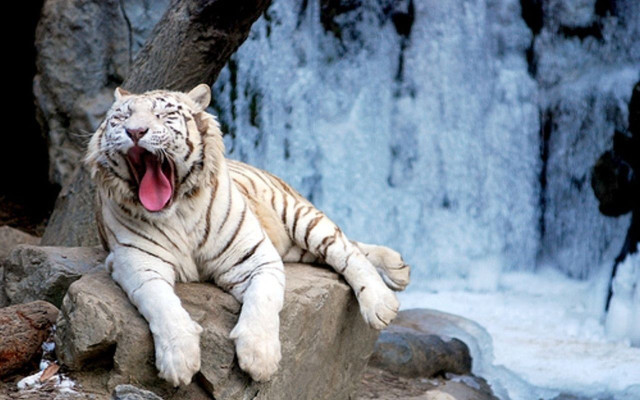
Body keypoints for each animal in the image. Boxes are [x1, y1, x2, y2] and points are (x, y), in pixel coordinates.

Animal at [85, 84, 410, 386]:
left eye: (162, 115)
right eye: (121, 117)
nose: (135, 131)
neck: (177, 212)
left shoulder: (255, 256)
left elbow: (263, 300)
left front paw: (260, 358)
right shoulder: (137, 263)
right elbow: (161, 304)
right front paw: (179, 360)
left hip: (298, 216)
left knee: (345, 248)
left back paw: (382, 300)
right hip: (294, 248)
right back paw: (398, 267)